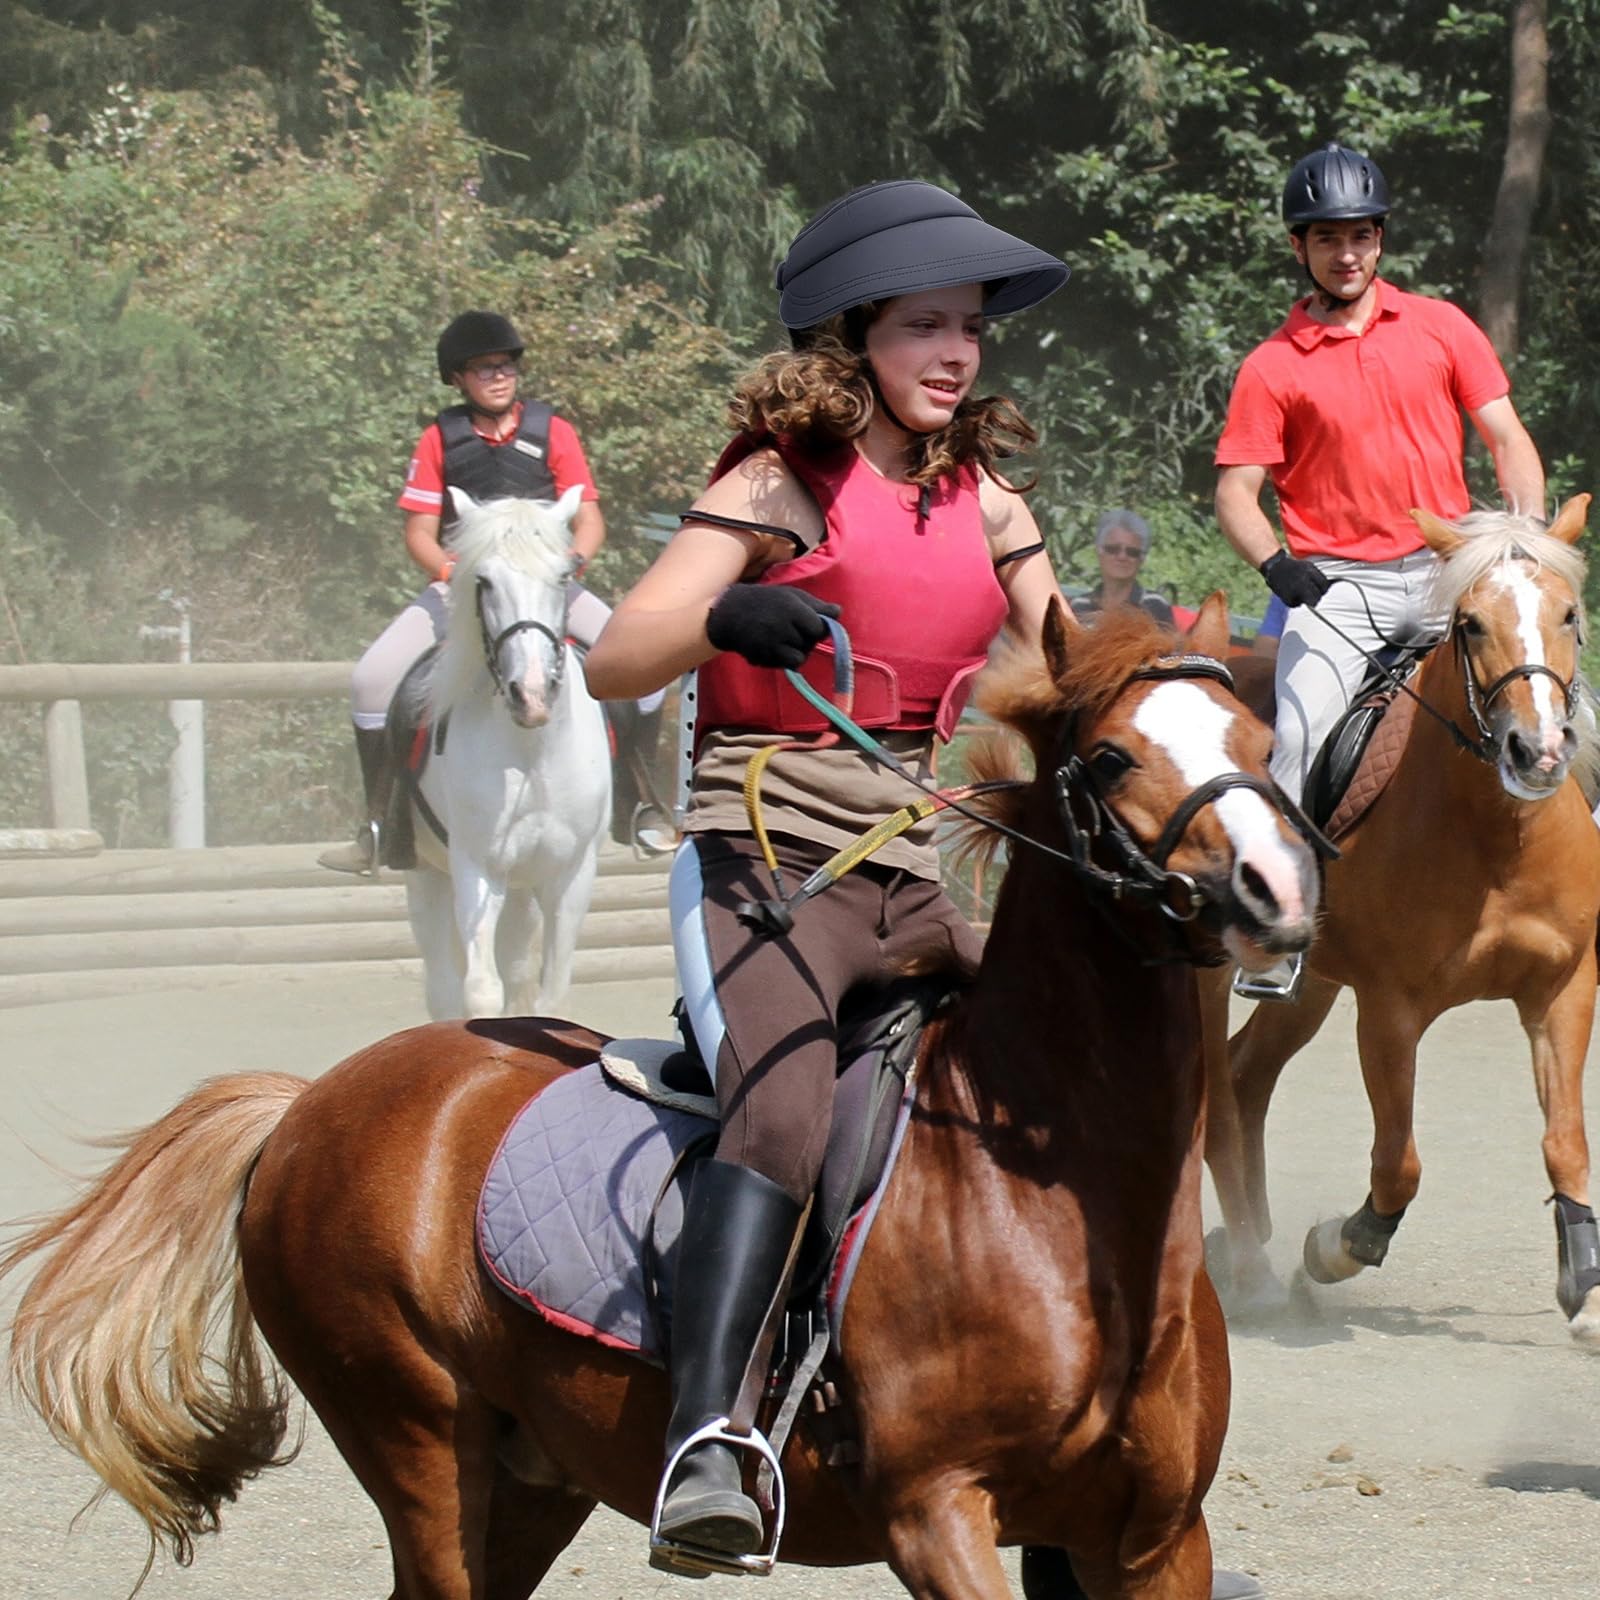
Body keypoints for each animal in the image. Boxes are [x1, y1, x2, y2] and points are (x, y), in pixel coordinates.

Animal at [6, 598, 1318, 1600]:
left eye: (1261, 738)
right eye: (1109, 758)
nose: (1276, 887)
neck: (1052, 1209)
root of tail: (311, 1100)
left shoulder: (1151, 1541)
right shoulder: (938, 1514)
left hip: (533, 1475)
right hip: (418, 1440)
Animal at [406, 483, 611, 1024]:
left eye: (563, 576)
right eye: (484, 581)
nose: (532, 695)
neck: (532, 749)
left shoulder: (571, 874)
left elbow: (551, 993)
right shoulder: (478, 866)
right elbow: (479, 991)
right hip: (427, 873)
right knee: (442, 984)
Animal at [1203, 496, 1600, 1337]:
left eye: (1569, 614)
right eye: (1471, 624)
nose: (1538, 751)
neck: (1498, 836)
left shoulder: (1563, 991)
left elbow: (1566, 1143)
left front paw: (1584, 1285)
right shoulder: (1390, 1008)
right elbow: (1399, 1163)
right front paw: (1335, 1247)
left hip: (1313, 986)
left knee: (1247, 1077)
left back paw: (1246, 1239)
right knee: (1218, 1098)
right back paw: (1250, 1270)